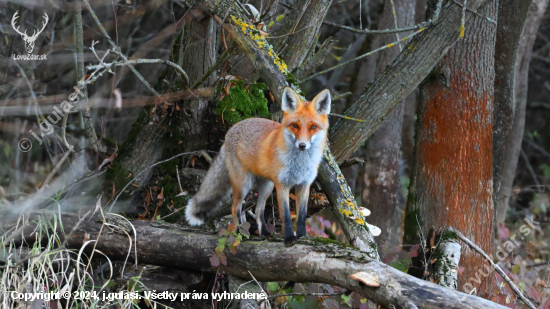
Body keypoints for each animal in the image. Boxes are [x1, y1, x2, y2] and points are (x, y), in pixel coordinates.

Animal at [185, 86, 332, 245]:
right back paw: (239, 233)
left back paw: (264, 233)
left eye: (313, 127)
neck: (299, 164)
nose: (302, 145)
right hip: (244, 184)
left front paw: (302, 236)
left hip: (267, 186)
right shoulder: (282, 185)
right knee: (235, 208)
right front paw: (289, 238)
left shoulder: (304, 185)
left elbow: (301, 216)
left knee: (257, 210)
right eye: (295, 126)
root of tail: (229, 132)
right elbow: (286, 215)